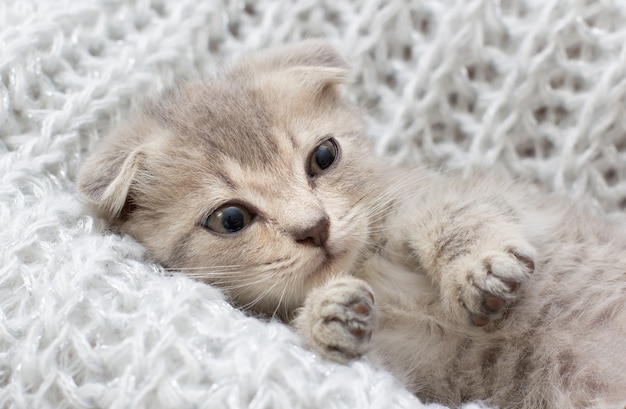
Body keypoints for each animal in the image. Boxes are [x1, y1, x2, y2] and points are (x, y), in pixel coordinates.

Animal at [77, 40, 624, 408]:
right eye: (231, 218)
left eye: (323, 156)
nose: (315, 227)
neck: (370, 264)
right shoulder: (413, 372)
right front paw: (327, 314)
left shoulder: (454, 195)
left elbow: (450, 215)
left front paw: (478, 268)